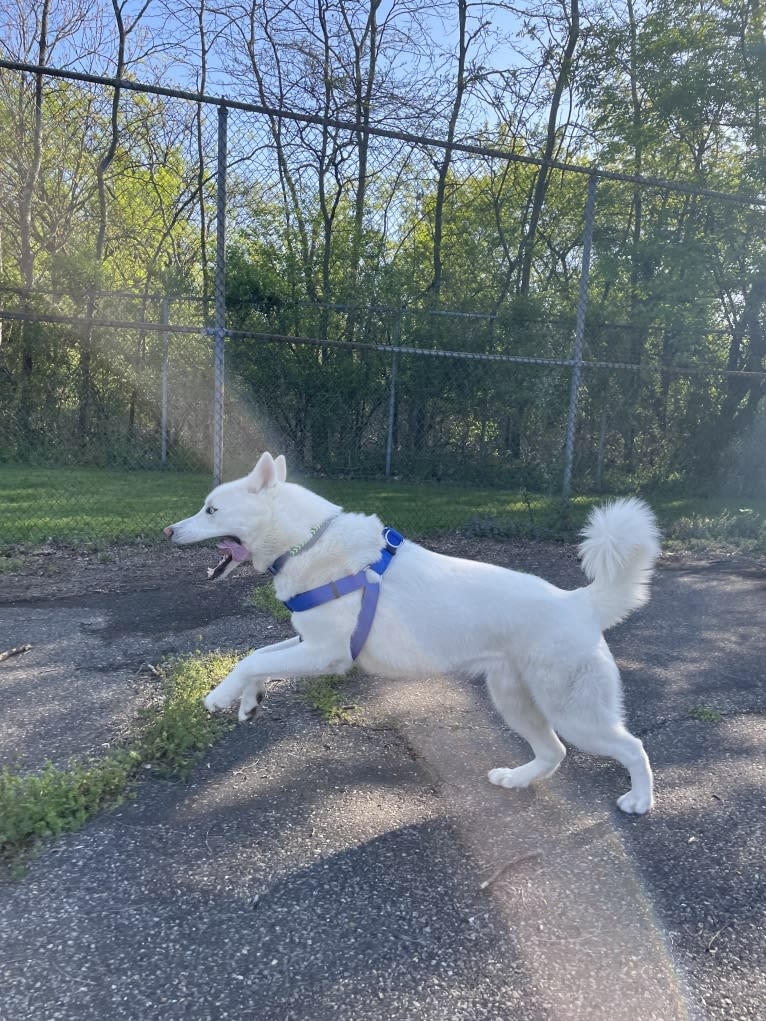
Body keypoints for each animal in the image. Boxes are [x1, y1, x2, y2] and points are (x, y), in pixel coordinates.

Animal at [165, 453, 661, 812]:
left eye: (211, 509)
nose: (169, 530)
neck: (307, 541)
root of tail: (580, 602)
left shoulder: (326, 653)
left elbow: (252, 658)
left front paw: (220, 696)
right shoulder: (307, 644)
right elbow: (260, 656)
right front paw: (248, 700)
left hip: (575, 714)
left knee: (632, 747)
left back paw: (640, 800)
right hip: (516, 702)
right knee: (553, 753)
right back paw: (515, 779)